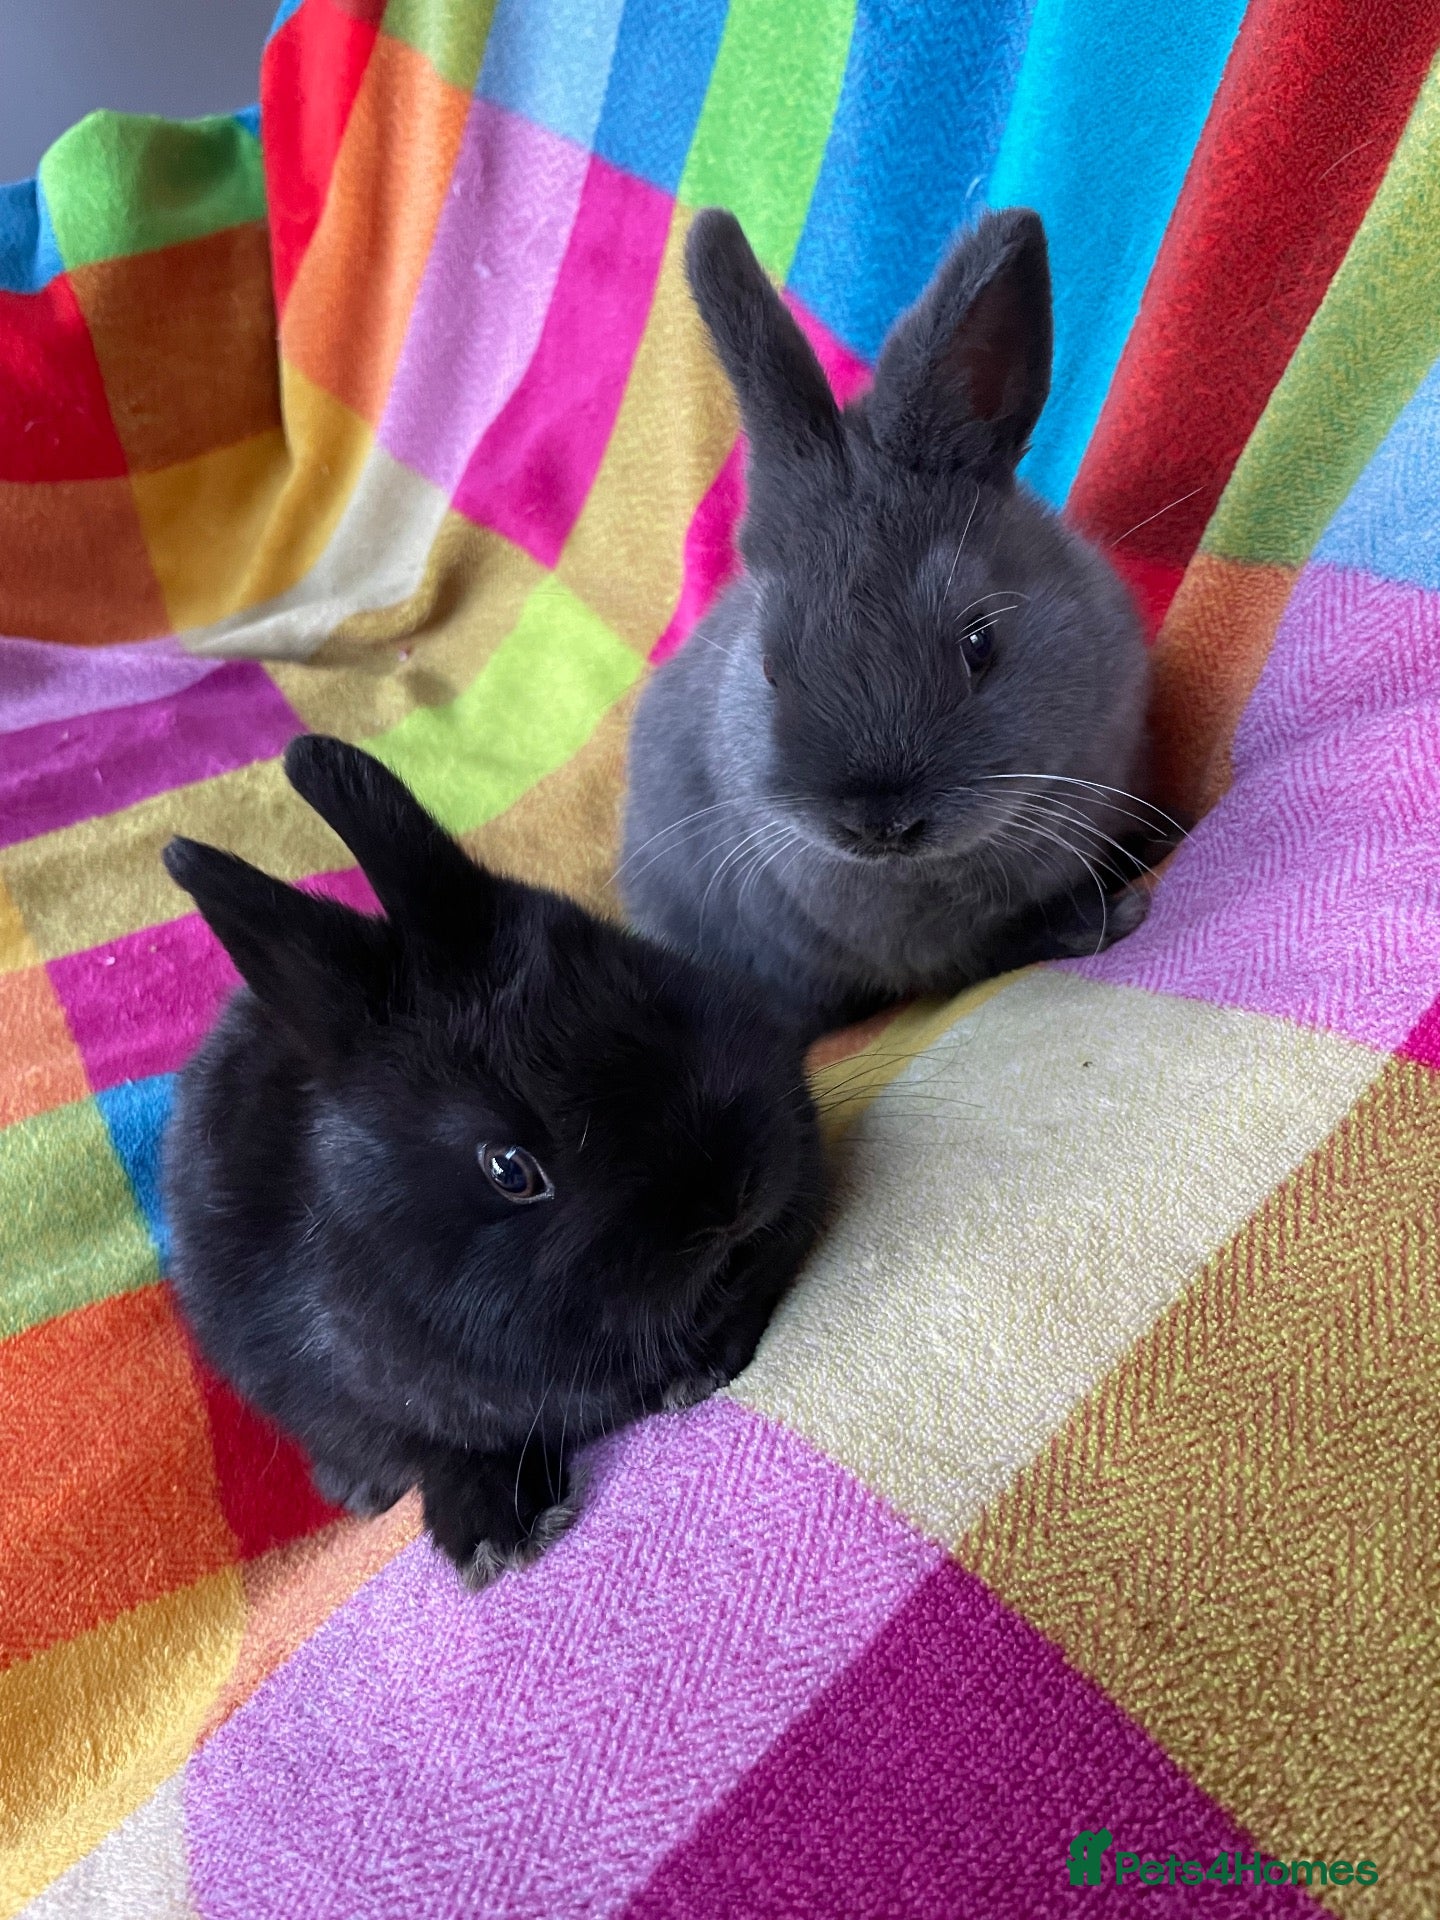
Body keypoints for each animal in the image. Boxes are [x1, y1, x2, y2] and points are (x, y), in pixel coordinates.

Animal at [161, 735, 825, 1588]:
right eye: (510, 1170)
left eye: (645, 985)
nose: (731, 1195)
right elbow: (441, 1450)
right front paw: (494, 1533)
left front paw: (701, 1363)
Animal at [620, 206, 1168, 1040]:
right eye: (771, 669)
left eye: (980, 642)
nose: (878, 823)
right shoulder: (929, 950)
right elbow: (992, 951)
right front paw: (1109, 915)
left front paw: (1157, 840)